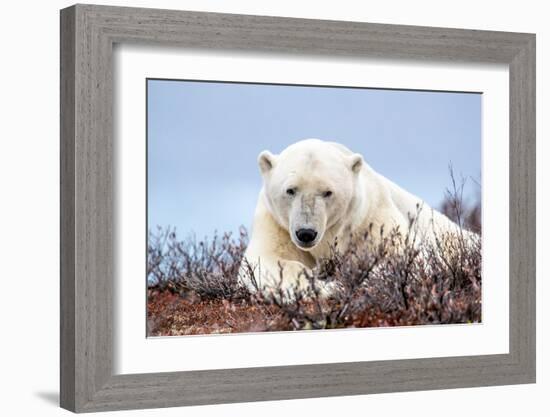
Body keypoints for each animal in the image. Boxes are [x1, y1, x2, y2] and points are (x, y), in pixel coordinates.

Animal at [242, 140, 478, 296]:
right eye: (290, 190)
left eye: (328, 192)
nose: (306, 233)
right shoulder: (275, 224)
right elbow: (265, 261)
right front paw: (323, 286)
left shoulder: (370, 217)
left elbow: (404, 257)